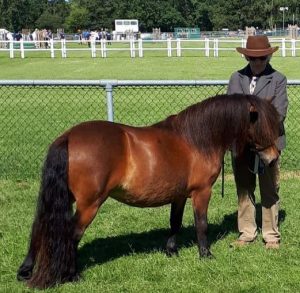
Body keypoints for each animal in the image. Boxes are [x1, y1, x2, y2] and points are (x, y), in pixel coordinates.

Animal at [17, 94, 278, 288]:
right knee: (72, 234)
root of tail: (68, 137)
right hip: (89, 204)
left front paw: (171, 251)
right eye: (262, 125)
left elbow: (175, 223)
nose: (274, 157)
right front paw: (206, 254)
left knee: (39, 227)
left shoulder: (179, 195)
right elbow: (201, 224)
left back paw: (25, 271)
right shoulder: (201, 192)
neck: (196, 139)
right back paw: (72, 275)